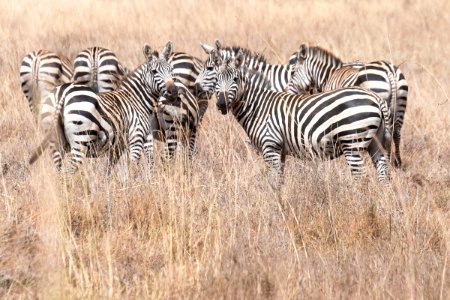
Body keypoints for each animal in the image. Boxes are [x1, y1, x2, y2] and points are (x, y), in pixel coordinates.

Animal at [29, 41, 178, 173]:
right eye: (154, 71)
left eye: (171, 70)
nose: (174, 91)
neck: (137, 99)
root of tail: (63, 93)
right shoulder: (136, 138)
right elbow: (133, 168)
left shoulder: (119, 147)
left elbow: (111, 171)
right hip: (80, 140)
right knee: (69, 171)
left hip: (55, 141)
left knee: (61, 172)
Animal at [213, 50, 392, 184]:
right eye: (215, 81)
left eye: (235, 79)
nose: (222, 104)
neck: (257, 106)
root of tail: (376, 98)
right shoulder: (280, 151)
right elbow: (280, 181)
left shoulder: (270, 146)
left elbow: (274, 182)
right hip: (376, 143)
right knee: (384, 175)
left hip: (352, 142)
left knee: (360, 177)